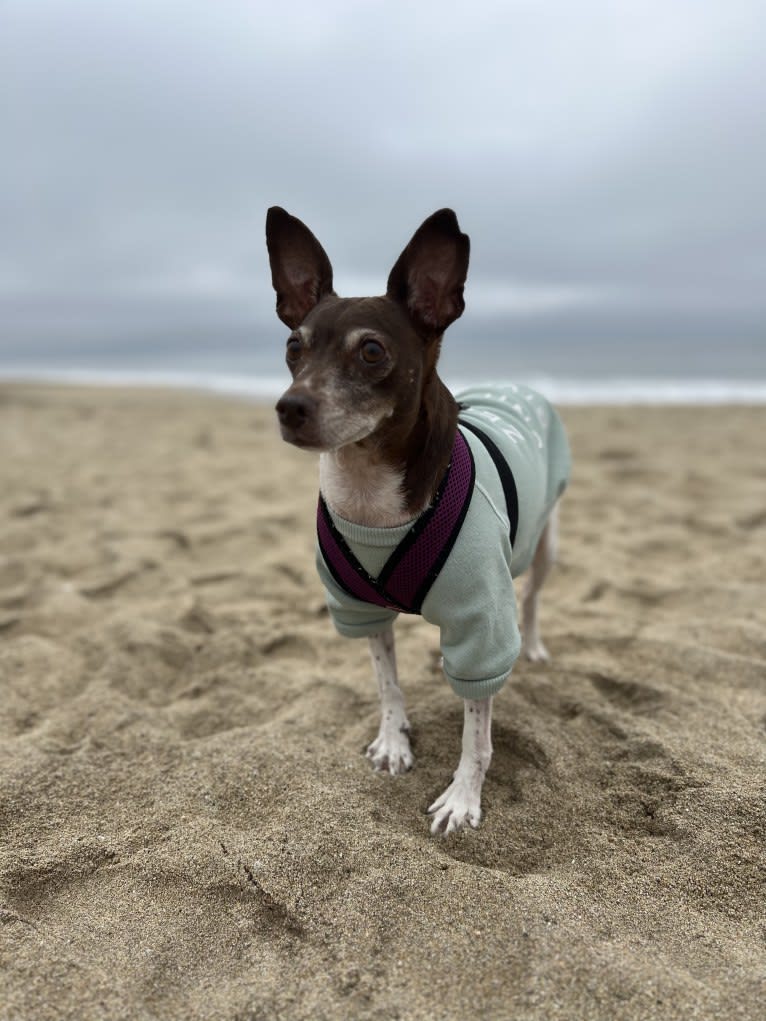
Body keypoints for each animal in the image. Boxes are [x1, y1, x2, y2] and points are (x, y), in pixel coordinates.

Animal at [265, 205, 571, 829]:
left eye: (372, 351)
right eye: (292, 345)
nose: (289, 407)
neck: (371, 497)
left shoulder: (483, 627)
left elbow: (476, 735)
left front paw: (463, 796)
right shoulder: (359, 610)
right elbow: (388, 685)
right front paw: (393, 741)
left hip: (547, 544)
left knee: (530, 600)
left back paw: (531, 646)